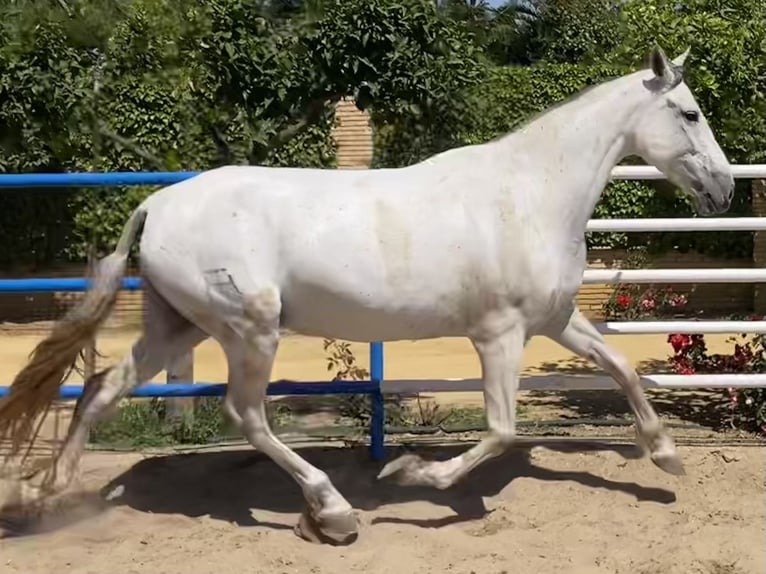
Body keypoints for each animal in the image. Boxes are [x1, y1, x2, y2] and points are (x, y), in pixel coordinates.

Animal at [0, 47, 736, 548]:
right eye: (690, 113)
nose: (726, 188)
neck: (527, 195)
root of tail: (157, 202)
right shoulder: (498, 334)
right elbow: (501, 430)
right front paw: (410, 474)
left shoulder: (555, 319)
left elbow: (620, 367)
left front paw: (665, 454)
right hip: (249, 327)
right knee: (246, 413)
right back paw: (332, 514)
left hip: (177, 324)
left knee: (101, 388)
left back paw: (48, 492)